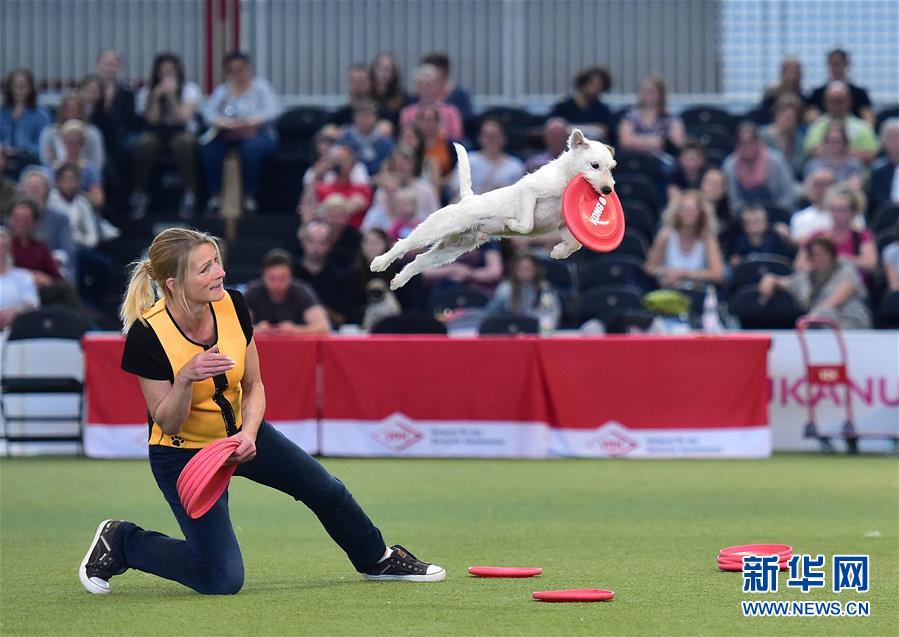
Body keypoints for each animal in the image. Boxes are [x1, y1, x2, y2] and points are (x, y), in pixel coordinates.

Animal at [370, 129, 617, 289]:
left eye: (612, 167)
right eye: (594, 165)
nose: (607, 190)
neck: (565, 179)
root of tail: (467, 199)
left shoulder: (564, 224)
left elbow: (574, 244)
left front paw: (558, 252)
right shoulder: (528, 193)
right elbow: (526, 224)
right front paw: (511, 223)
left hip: (452, 249)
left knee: (420, 260)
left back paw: (398, 280)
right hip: (437, 226)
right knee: (404, 244)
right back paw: (380, 262)